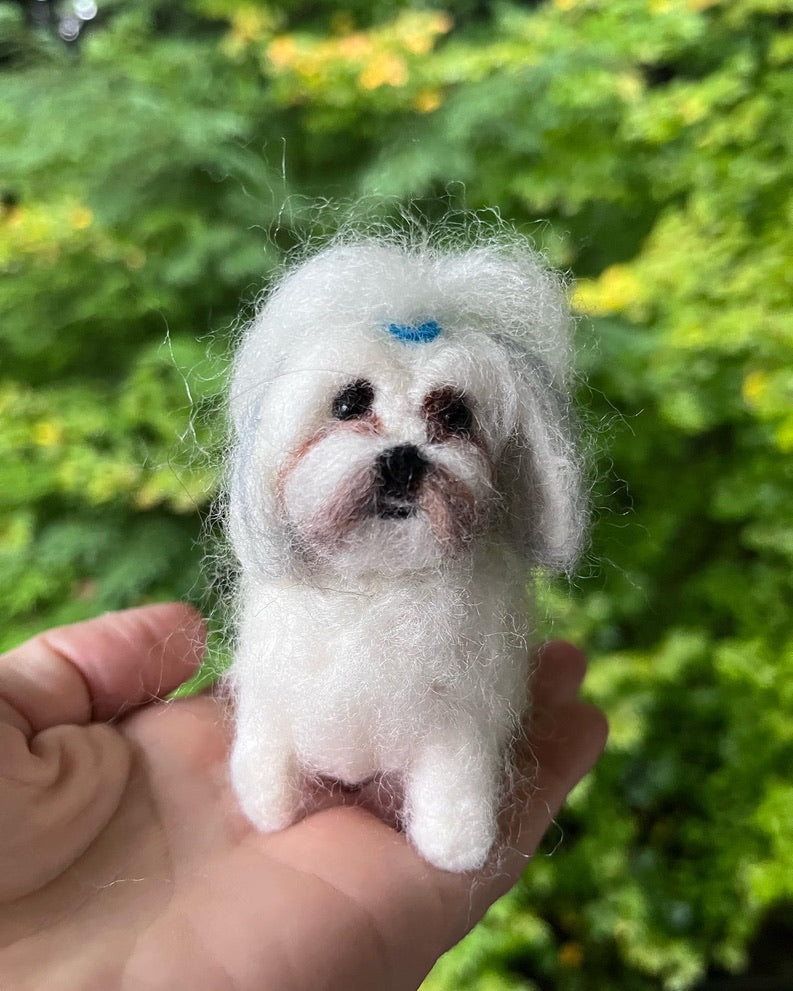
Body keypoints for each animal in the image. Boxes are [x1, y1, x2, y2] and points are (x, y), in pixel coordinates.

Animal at [223, 236, 580, 872]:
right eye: (348, 403)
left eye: (456, 414)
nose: (404, 459)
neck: (377, 580)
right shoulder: (273, 696)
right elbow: (267, 753)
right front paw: (270, 809)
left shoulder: (456, 723)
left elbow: (452, 784)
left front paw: (455, 845)